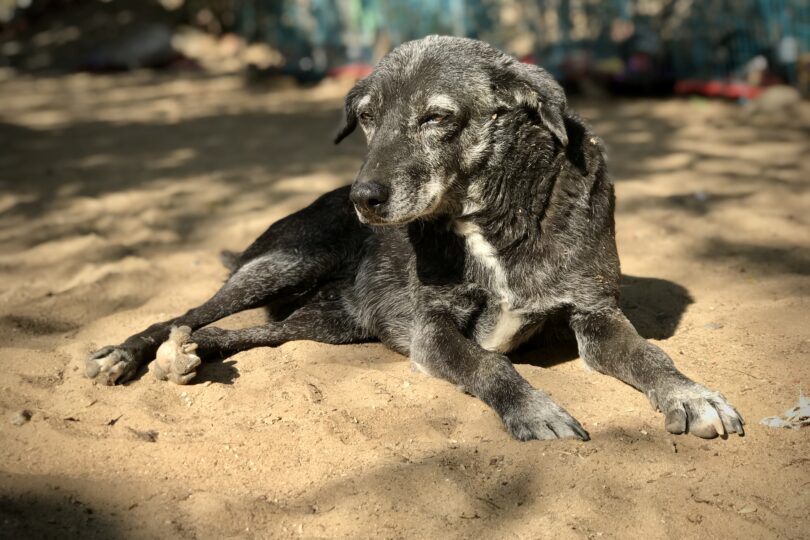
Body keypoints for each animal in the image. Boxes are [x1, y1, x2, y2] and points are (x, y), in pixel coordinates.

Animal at [85, 35, 740, 440]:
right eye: (367, 117)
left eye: (437, 117)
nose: (363, 200)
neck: (488, 222)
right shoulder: (433, 328)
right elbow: (491, 366)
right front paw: (534, 410)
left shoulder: (595, 315)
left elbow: (650, 355)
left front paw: (690, 396)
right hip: (284, 264)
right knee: (183, 313)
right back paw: (127, 354)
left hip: (322, 324)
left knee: (239, 333)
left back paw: (190, 355)